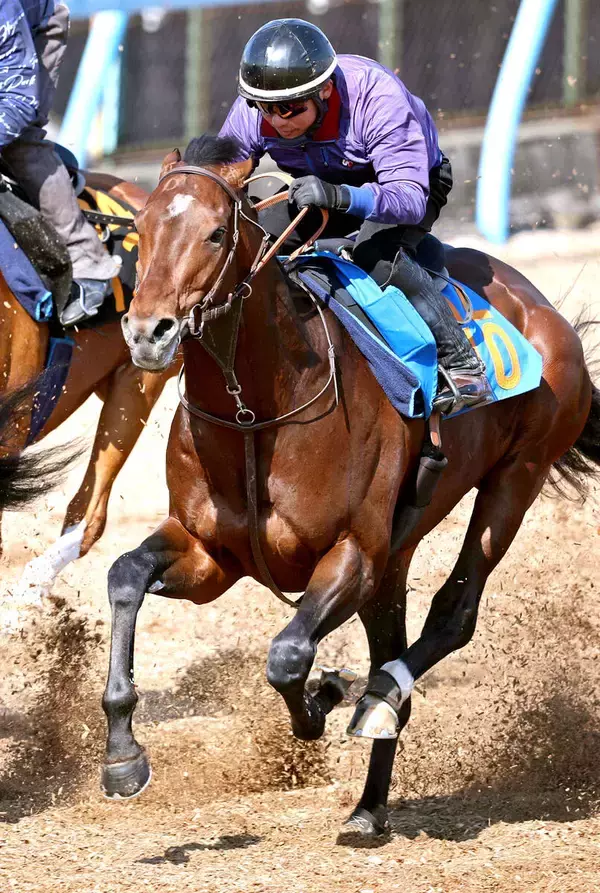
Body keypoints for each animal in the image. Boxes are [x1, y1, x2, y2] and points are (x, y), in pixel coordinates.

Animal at [101, 136, 600, 836]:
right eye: (140, 229)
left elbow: (287, 656)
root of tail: (543, 309)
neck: (257, 412)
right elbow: (124, 575)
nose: (148, 333)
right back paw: (369, 806)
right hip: (398, 554)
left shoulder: (353, 553)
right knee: (398, 636)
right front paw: (122, 755)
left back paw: (379, 700)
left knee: (454, 612)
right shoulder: (211, 554)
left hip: (517, 477)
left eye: (214, 232)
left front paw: (324, 698)